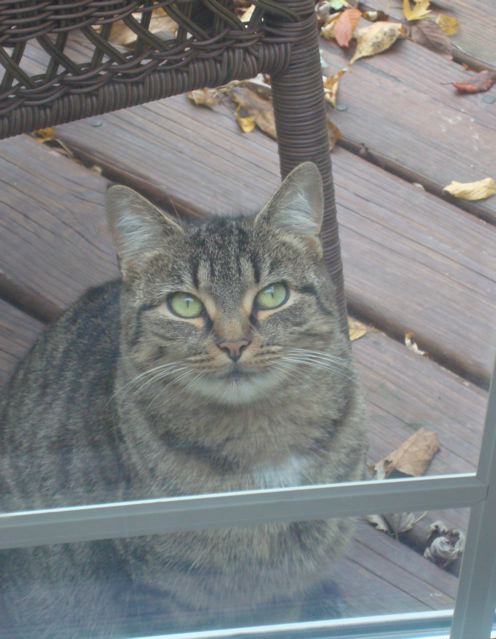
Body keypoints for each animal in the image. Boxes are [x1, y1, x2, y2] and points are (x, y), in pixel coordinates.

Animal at [0, 162, 364, 636]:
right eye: (185, 305)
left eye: (273, 295)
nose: (233, 344)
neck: (258, 435)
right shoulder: (164, 593)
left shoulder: (287, 584)